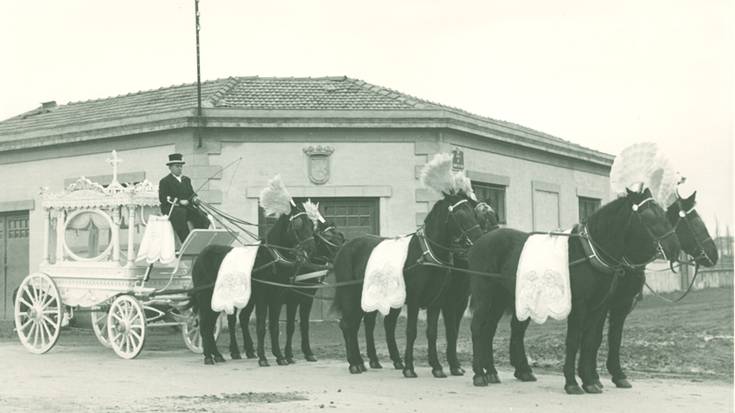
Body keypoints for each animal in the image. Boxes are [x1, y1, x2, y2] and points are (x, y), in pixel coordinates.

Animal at [190, 203, 316, 364]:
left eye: (312, 224)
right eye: (298, 223)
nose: (311, 248)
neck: (270, 258)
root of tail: (201, 254)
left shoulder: (277, 297)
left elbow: (274, 326)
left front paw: (280, 356)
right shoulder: (264, 296)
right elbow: (261, 326)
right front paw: (263, 358)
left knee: (211, 323)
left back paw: (217, 355)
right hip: (205, 297)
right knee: (205, 324)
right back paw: (208, 357)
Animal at [332, 192, 484, 374]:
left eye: (474, 214)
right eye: (460, 214)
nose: (478, 239)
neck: (426, 254)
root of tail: (346, 246)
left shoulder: (439, 301)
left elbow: (433, 332)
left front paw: (438, 367)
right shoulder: (417, 300)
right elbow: (412, 331)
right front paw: (410, 369)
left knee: (370, 324)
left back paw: (377, 361)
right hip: (350, 295)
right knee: (349, 324)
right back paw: (355, 363)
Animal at [468, 187, 680, 392]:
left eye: (664, 214)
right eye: (648, 217)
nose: (674, 249)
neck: (590, 253)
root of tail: (483, 238)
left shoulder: (603, 306)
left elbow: (593, 340)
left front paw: (591, 380)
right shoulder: (580, 305)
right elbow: (574, 340)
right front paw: (573, 382)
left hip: (502, 298)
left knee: (491, 330)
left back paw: (496, 371)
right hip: (484, 295)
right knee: (478, 327)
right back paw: (479, 374)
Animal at [588, 190, 720, 390]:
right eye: (696, 223)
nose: (714, 254)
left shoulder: (621, 305)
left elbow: (615, 338)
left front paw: (618, 375)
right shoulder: (602, 306)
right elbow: (594, 338)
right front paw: (594, 377)